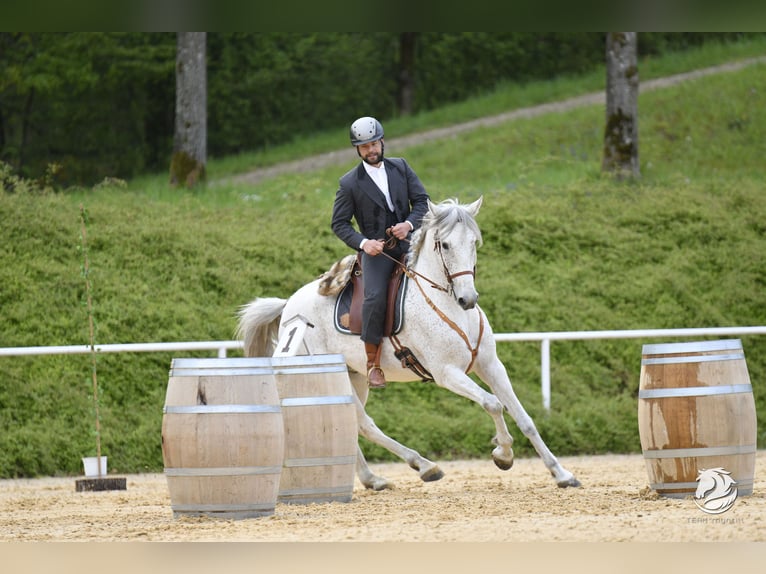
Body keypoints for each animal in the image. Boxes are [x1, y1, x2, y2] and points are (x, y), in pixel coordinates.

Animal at [237, 197, 580, 490]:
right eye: (445, 244)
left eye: (474, 242)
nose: (468, 299)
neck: (448, 305)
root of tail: (289, 305)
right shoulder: (447, 374)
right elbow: (493, 404)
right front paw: (503, 454)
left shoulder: (491, 365)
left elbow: (524, 418)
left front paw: (561, 473)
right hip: (328, 376)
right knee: (364, 423)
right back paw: (424, 466)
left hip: (355, 376)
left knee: (352, 423)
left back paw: (374, 479)